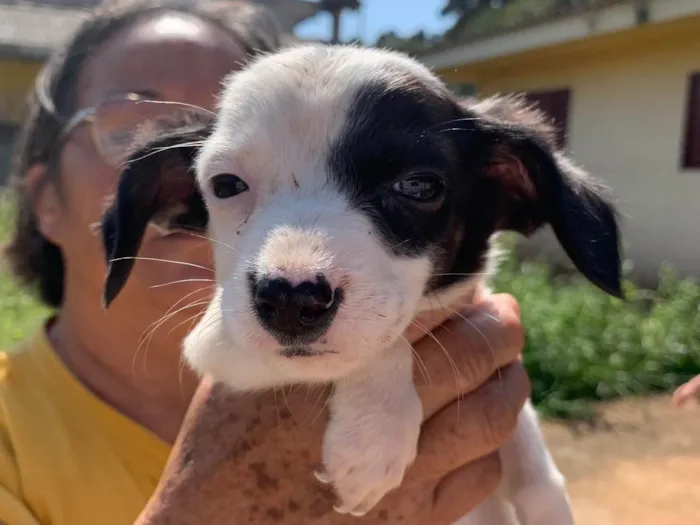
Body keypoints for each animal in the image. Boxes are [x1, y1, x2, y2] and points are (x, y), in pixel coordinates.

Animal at [100, 45, 624, 524]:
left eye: (419, 187)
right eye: (226, 185)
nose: (288, 301)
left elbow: (534, 464)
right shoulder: (220, 341)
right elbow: (383, 344)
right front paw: (375, 440)